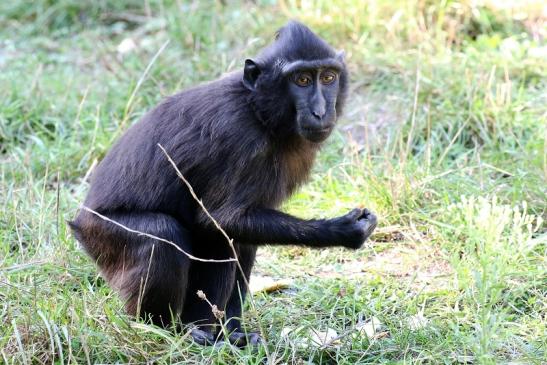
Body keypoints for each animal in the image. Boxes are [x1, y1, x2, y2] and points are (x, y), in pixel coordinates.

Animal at [69, 21, 376, 346]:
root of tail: (79, 222)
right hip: (104, 237)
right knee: (168, 234)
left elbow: (242, 227)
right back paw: (174, 333)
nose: (320, 112)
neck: (257, 110)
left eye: (328, 77)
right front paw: (345, 230)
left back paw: (228, 333)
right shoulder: (238, 137)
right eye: (302, 80)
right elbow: (220, 220)